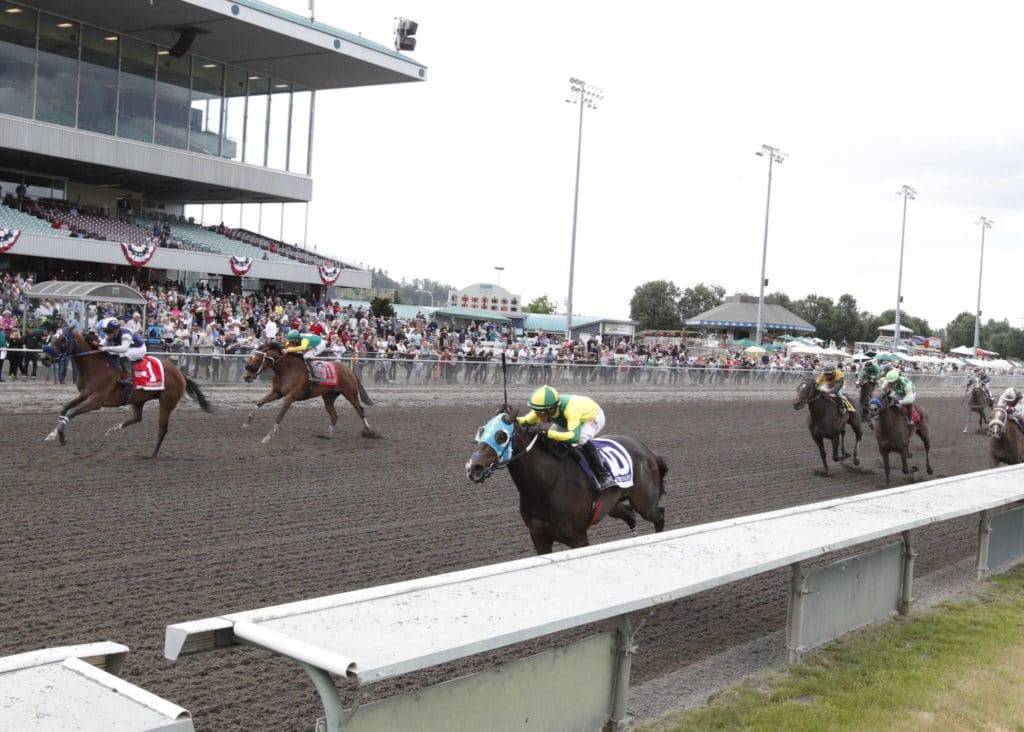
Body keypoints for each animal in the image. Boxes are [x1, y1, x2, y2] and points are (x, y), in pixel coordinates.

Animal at [38, 325, 211, 454]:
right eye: (51, 337)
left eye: (62, 339)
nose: (44, 358)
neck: (95, 365)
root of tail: (179, 373)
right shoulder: (85, 394)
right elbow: (64, 408)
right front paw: (52, 434)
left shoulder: (96, 400)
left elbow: (72, 412)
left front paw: (61, 435)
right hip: (139, 399)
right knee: (138, 418)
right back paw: (114, 429)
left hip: (167, 403)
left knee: (162, 429)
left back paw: (153, 454)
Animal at [241, 341, 378, 444]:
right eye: (250, 357)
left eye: (257, 359)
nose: (246, 377)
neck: (287, 370)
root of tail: (349, 370)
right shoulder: (277, 393)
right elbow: (259, 402)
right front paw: (247, 422)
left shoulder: (290, 397)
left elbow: (279, 415)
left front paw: (268, 437)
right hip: (328, 397)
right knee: (334, 415)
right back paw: (329, 435)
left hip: (350, 393)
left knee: (360, 409)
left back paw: (370, 431)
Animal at [466, 411, 671, 556]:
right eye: (482, 431)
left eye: (501, 436)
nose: (472, 467)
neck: (547, 486)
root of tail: (649, 452)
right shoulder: (539, 538)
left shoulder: (578, 539)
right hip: (612, 505)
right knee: (630, 515)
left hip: (644, 504)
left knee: (659, 514)